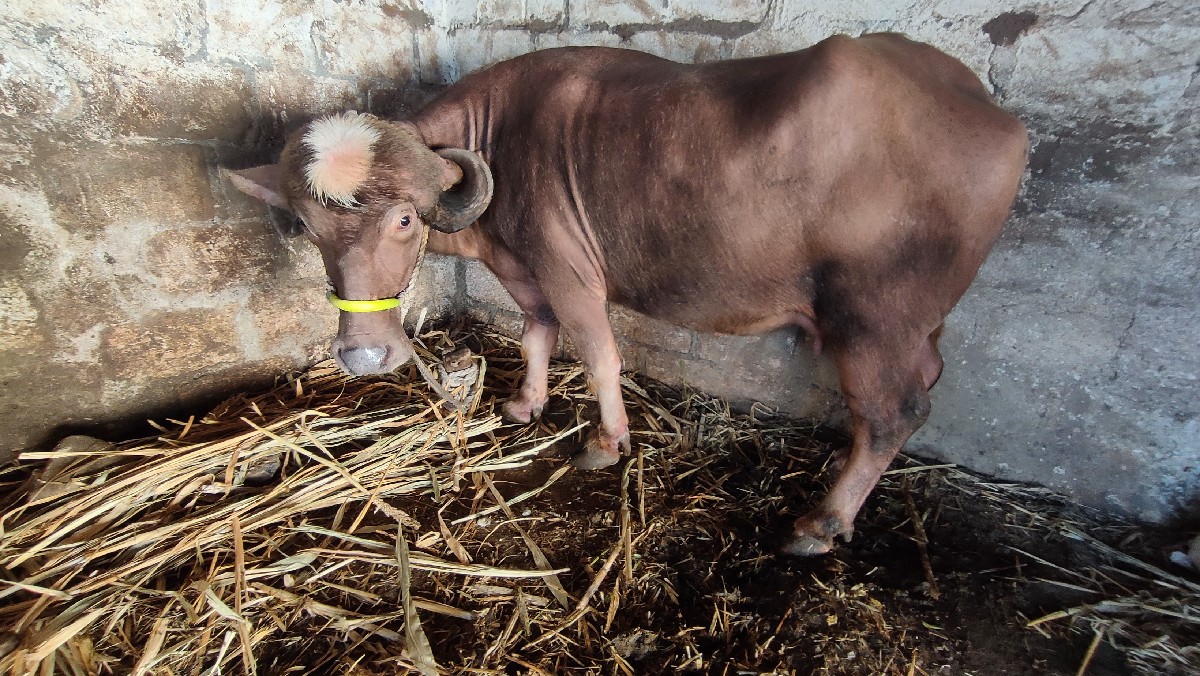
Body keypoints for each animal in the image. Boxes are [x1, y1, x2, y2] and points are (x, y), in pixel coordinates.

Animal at [226, 34, 1028, 556]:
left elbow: (597, 351)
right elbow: (535, 332)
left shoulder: (568, 269)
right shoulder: (525, 268)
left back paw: (821, 523)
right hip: (916, 328)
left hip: (875, 318)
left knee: (894, 413)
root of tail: (995, 113)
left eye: (402, 220)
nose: (364, 355)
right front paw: (526, 403)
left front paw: (606, 442)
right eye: (308, 227)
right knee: (923, 383)